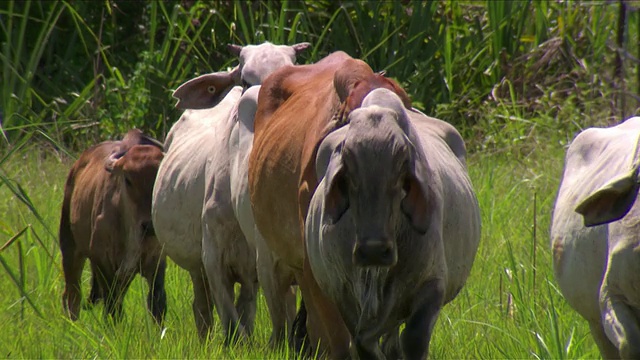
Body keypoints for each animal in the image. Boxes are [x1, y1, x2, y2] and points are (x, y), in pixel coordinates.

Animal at [59, 129, 168, 324]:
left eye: (158, 178)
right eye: (128, 179)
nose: (149, 226)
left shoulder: (156, 263)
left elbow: (156, 303)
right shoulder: (102, 262)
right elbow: (111, 305)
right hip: (70, 248)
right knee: (72, 295)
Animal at [151, 42, 308, 344]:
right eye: (245, 80)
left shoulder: (260, 270)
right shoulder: (214, 261)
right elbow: (232, 325)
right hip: (196, 266)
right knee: (201, 308)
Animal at [304, 88, 480, 360]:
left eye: (401, 170)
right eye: (349, 172)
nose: (374, 250)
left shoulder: (432, 285)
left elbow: (414, 340)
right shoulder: (342, 292)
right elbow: (363, 343)